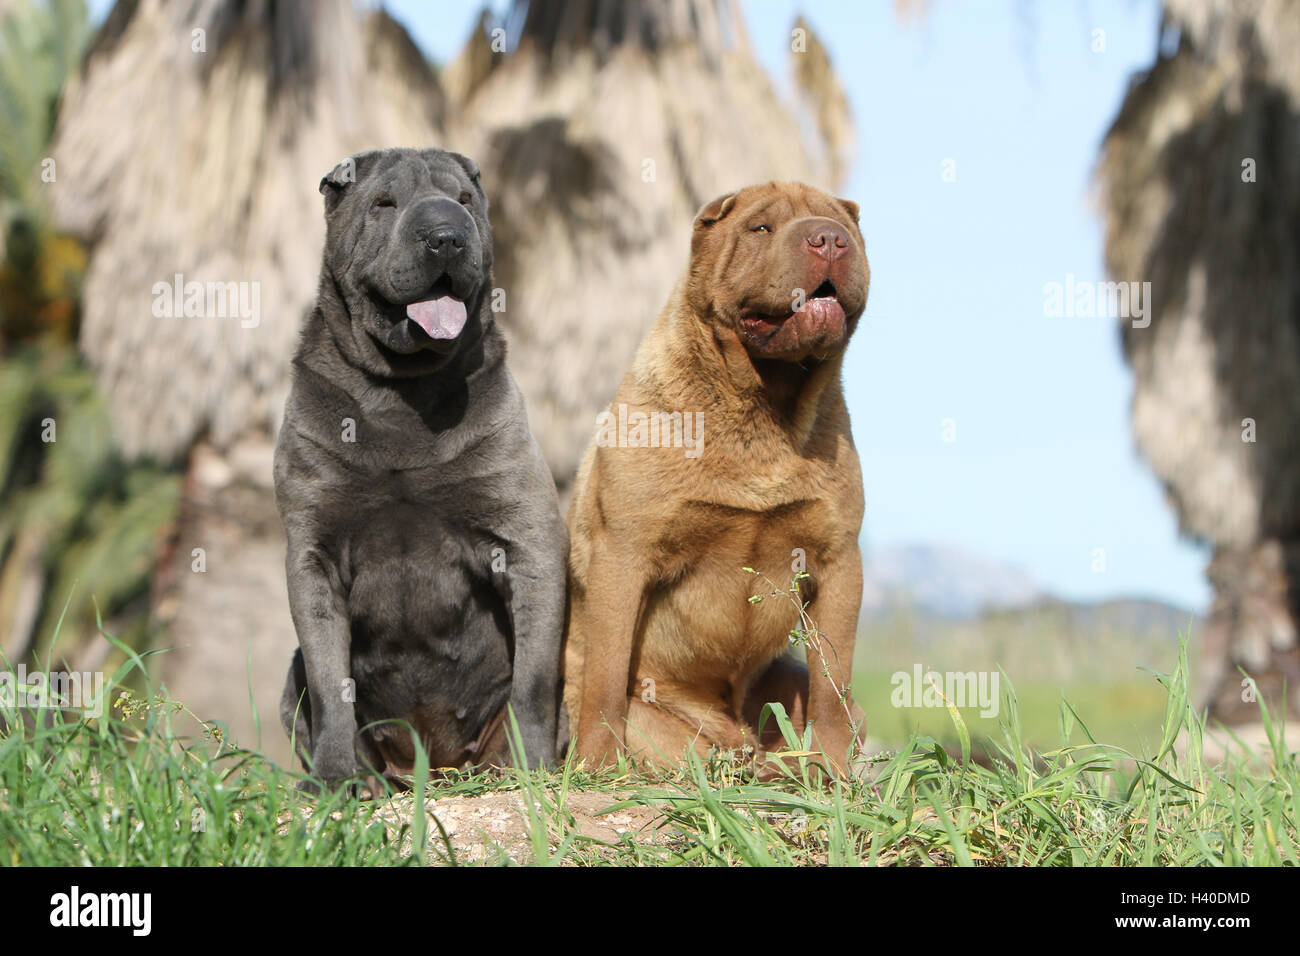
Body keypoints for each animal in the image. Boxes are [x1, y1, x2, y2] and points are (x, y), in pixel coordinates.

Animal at [276, 147, 566, 785]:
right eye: (385, 203)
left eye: (463, 200)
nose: (446, 237)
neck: (402, 394)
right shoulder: (313, 552)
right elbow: (330, 680)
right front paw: (333, 779)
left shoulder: (526, 542)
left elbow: (534, 681)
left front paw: (535, 770)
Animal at [564, 180, 868, 780]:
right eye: (761, 228)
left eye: (845, 226)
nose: (829, 239)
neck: (764, 409)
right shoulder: (624, 555)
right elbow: (605, 680)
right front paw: (597, 766)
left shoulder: (839, 560)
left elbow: (833, 686)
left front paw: (834, 769)